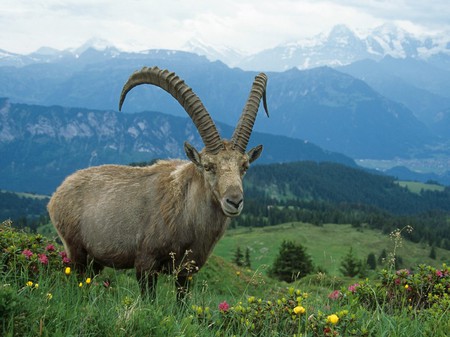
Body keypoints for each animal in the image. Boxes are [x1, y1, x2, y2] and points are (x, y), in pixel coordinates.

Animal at [47, 65, 268, 296]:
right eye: (208, 166)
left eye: (244, 166)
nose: (234, 201)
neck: (185, 210)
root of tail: (57, 195)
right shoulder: (146, 263)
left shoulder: (185, 272)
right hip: (75, 250)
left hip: (95, 260)